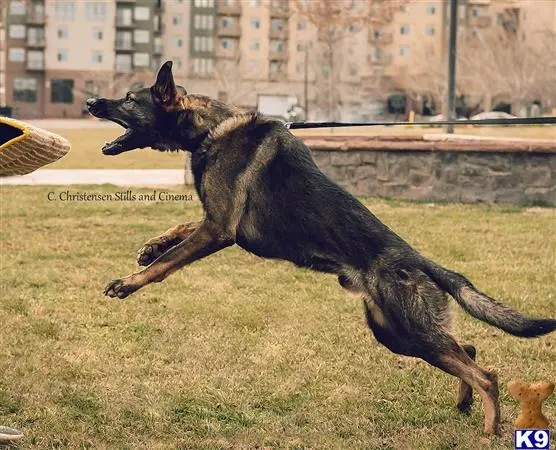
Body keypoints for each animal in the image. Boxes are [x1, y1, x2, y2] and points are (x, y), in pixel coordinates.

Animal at [87, 61, 552, 434]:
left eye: (129, 100)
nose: (90, 101)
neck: (207, 129)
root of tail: (420, 260)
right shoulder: (215, 222)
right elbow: (179, 229)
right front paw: (152, 245)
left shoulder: (219, 229)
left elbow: (168, 263)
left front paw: (129, 282)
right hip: (395, 333)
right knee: (469, 352)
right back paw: (463, 403)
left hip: (410, 330)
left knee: (487, 374)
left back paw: (490, 427)